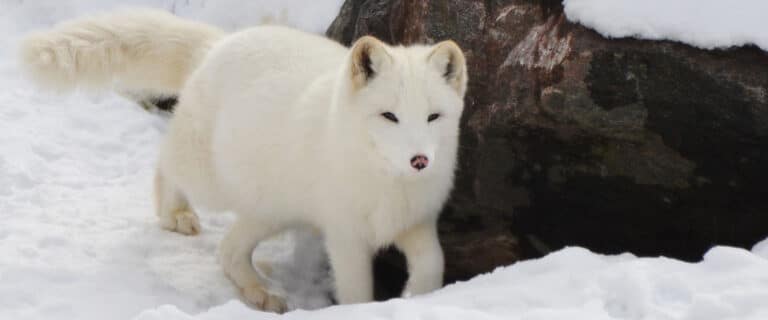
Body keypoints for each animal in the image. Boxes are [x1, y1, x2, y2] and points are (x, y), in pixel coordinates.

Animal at [21, 8, 468, 312]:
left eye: (433, 116)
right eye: (389, 116)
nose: (420, 160)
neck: (387, 183)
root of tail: (218, 45)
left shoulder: (417, 222)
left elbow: (433, 265)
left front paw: (419, 299)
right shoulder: (345, 235)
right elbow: (356, 292)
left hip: (271, 209)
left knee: (228, 252)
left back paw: (260, 293)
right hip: (212, 181)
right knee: (166, 163)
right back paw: (175, 213)